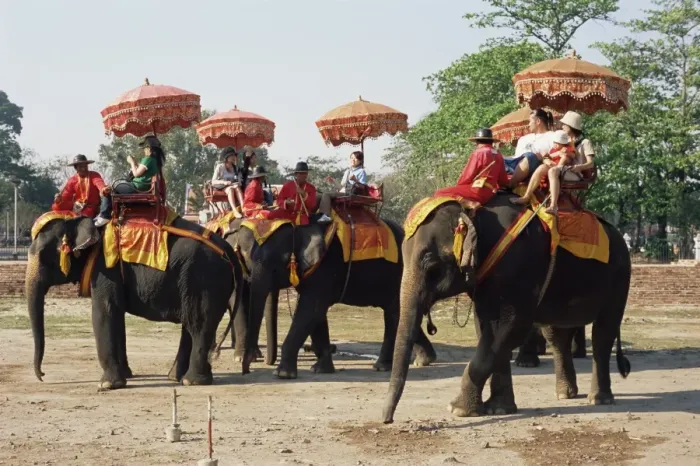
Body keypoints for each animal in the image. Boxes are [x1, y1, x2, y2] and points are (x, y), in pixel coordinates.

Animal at [27, 214, 242, 389]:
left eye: (44, 256)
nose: (43, 375)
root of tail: (227, 248)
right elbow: (116, 315)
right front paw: (127, 375)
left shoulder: (105, 268)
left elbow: (104, 312)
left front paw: (107, 385)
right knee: (190, 324)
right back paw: (177, 377)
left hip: (204, 279)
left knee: (198, 323)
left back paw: (192, 381)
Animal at [225, 218, 437, 379]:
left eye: (279, 263)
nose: (246, 371)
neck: (300, 226)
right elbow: (316, 314)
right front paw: (320, 369)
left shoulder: (326, 266)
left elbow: (311, 309)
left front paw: (283, 374)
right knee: (397, 313)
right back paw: (421, 360)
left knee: (395, 313)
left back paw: (387, 365)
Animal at [382, 194, 631, 423]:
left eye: (433, 268)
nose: (387, 419)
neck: (475, 213)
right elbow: (487, 329)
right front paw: (499, 409)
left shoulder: (518, 268)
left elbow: (509, 328)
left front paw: (458, 409)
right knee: (557, 335)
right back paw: (565, 394)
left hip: (620, 278)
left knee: (603, 333)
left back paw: (599, 399)